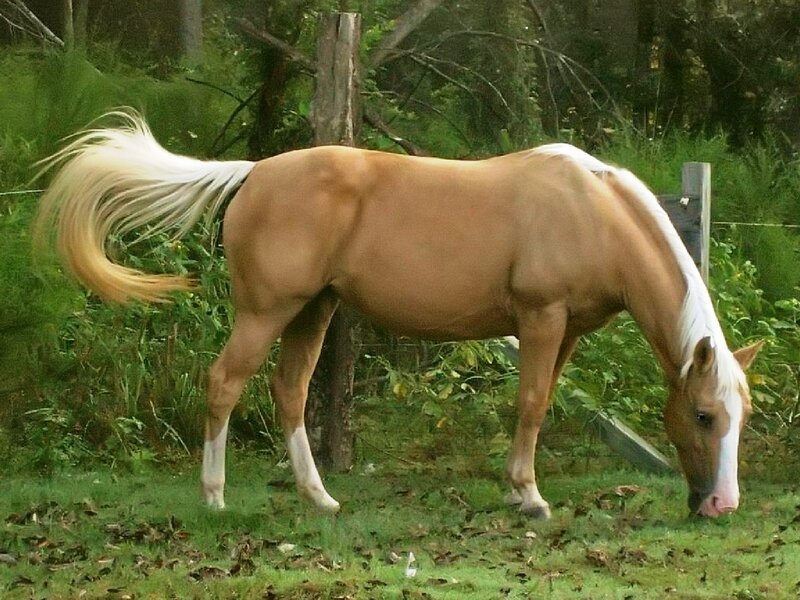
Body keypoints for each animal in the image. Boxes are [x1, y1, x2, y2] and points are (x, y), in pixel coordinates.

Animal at [35, 111, 762, 519]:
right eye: (704, 415)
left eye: (741, 415)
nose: (723, 504)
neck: (595, 211)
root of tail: (254, 173)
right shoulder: (540, 318)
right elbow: (530, 403)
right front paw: (528, 496)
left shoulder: (567, 333)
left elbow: (543, 401)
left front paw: (519, 488)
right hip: (267, 312)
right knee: (224, 384)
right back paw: (214, 498)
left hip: (313, 311)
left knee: (288, 391)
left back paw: (319, 498)